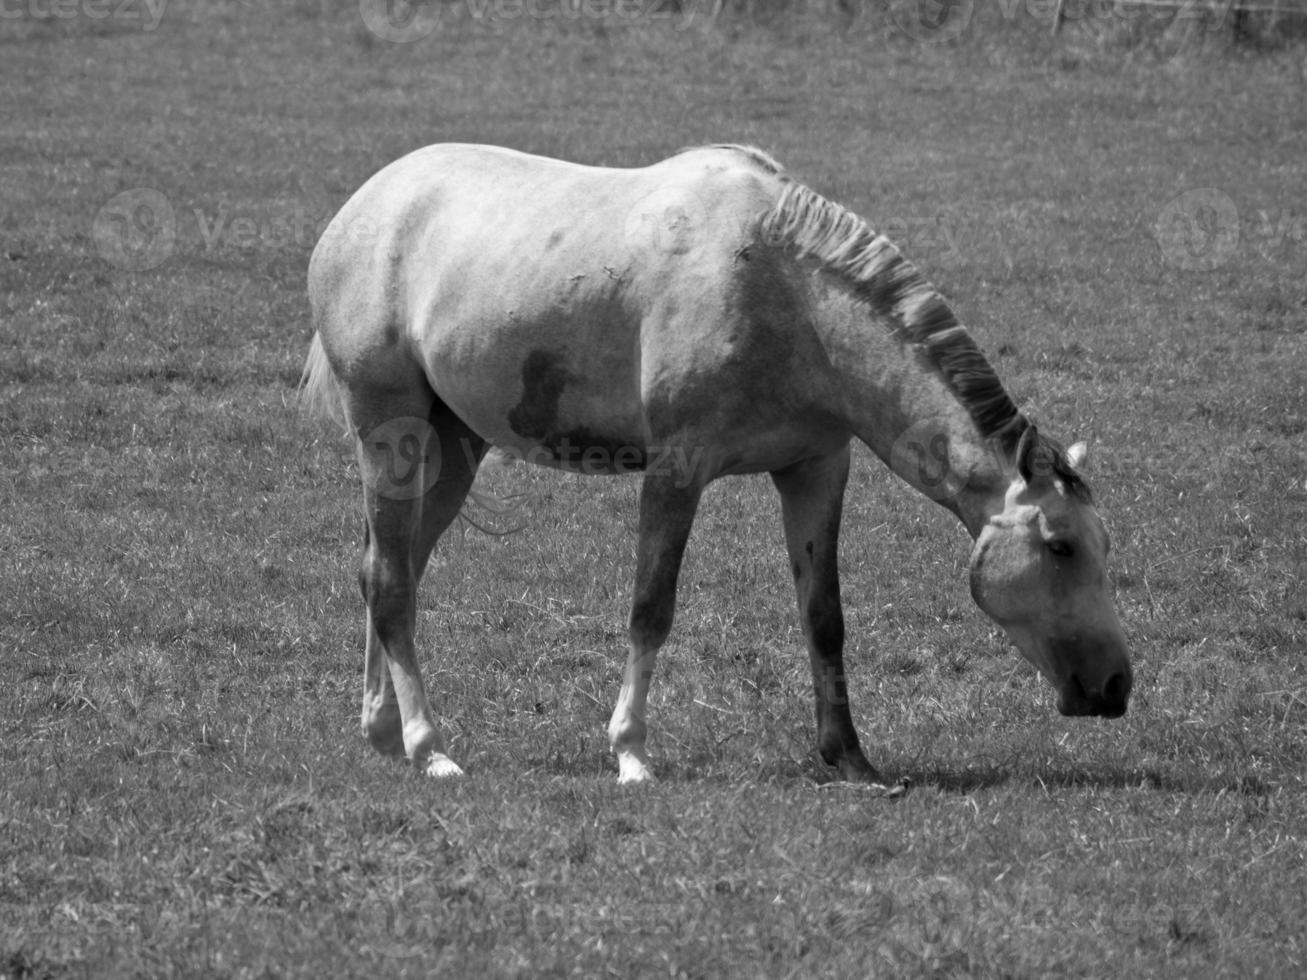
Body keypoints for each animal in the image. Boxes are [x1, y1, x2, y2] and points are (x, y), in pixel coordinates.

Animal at [300, 141, 1129, 789]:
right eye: (1059, 546)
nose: (1116, 686)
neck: (783, 290)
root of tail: (360, 210)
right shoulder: (676, 471)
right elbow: (650, 608)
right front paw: (630, 754)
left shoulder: (815, 470)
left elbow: (823, 618)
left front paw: (849, 756)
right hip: (392, 436)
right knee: (391, 583)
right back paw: (428, 748)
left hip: (454, 448)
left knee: (391, 569)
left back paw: (382, 731)